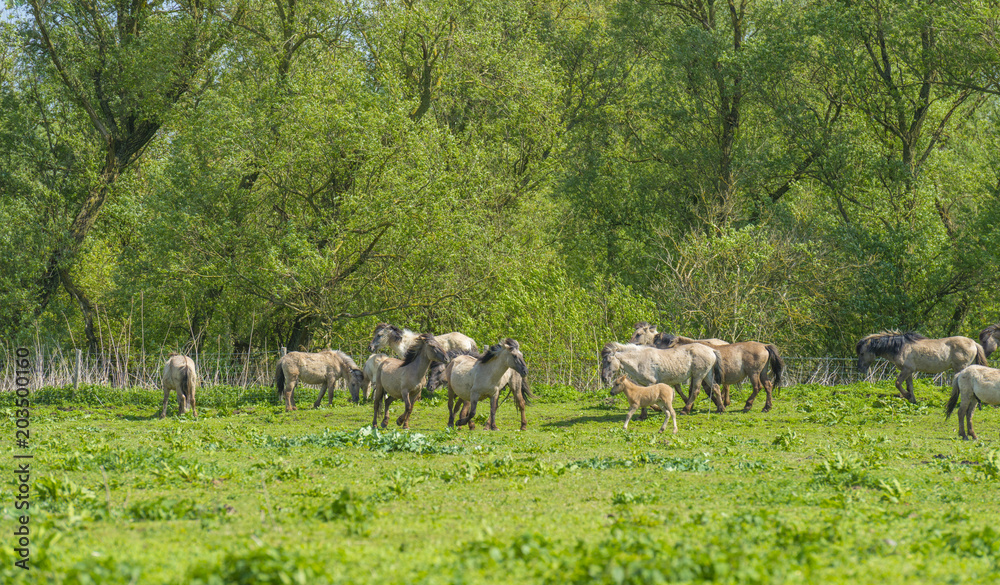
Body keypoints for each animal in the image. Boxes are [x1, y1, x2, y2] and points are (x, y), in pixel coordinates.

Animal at [654, 334, 784, 413]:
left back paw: (747, 405)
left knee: (757, 387)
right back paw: (767, 407)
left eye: (657, 343)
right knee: (768, 386)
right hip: (762, 373)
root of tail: (764, 345)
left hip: (753, 373)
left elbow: (703, 390)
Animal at [856, 331, 988, 403]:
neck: (900, 347)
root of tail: (974, 343)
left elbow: (897, 383)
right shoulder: (909, 371)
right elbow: (910, 386)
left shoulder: (907, 370)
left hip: (961, 368)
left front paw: (908, 396)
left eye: (862, 353)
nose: (860, 369)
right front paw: (912, 400)